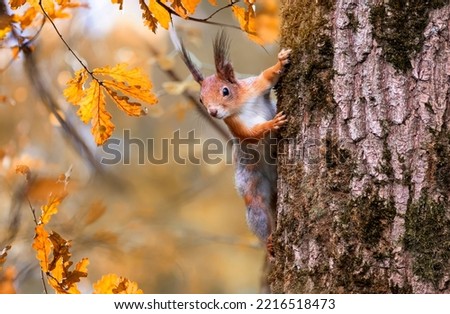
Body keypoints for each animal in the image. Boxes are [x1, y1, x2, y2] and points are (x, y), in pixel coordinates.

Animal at [179, 30, 292, 249]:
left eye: (225, 90)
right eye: (201, 100)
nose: (213, 112)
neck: (241, 105)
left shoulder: (255, 88)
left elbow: (267, 77)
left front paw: (281, 60)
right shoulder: (235, 125)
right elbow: (251, 134)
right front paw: (272, 124)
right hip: (252, 187)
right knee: (257, 211)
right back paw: (269, 241)